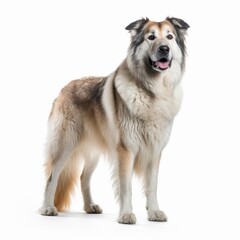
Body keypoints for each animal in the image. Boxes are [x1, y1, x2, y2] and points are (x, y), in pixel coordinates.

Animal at [39, 17, 189, 225]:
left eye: (170, 37)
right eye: (151, 37)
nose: (164, 49)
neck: (152, 91)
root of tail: (65, 88)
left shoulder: (155, 150)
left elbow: (152, 185)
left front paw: (154, 212)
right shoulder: (126, 150)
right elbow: (126, 187)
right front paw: (126, 215)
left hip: (93, 151)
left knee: (83, 177)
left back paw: (89, 207)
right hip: (65, 145)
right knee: (52, 176)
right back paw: (47, 208)